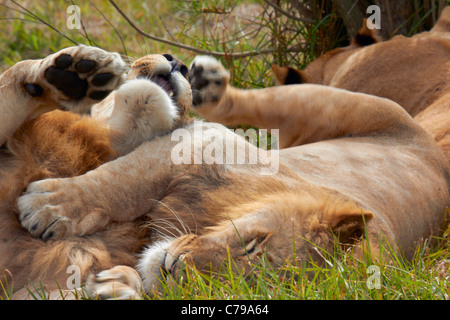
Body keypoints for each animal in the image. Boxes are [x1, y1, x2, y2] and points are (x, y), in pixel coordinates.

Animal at [0, 48, 448, 298]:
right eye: (252, 244)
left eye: (244, 286)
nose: (173, 268)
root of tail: (436, 156)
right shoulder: (202, 141)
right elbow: (123, 180)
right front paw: (48, 206)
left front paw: (119, 284)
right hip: (345, 104)